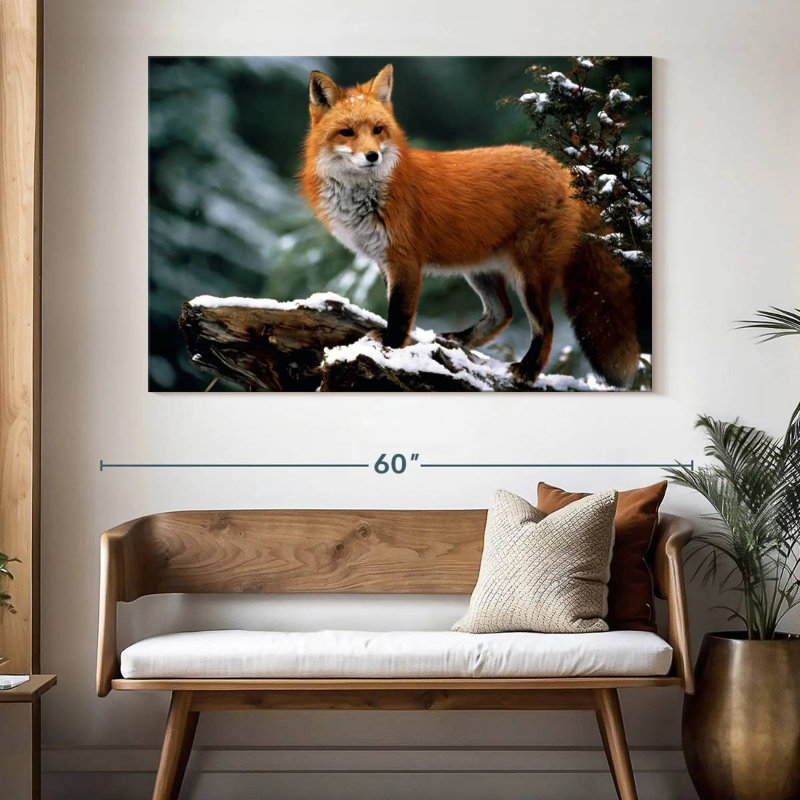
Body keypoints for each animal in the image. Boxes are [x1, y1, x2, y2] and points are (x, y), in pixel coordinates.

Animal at [300, 64, 640, 386]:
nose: (372, 156)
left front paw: (392, 348)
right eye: (346, 132)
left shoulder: (405, 260)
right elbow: (395, 308)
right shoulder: (384, 260)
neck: (367, 196)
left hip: (529, 275)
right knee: (502, 313)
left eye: (378, 129)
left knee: (545, 324)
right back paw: (458, 341)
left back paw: (528, 370)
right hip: (480, 269)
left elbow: (399, 314)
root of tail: (565, 169)